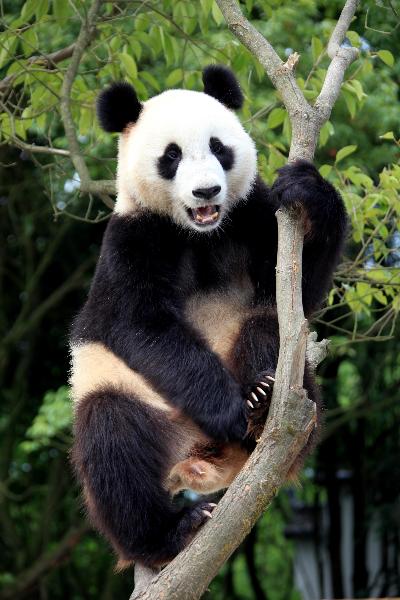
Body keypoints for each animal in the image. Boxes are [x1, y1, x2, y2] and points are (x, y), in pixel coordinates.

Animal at [69, 64, 346, 568]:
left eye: (219, 147)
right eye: (171, 156)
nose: (206, 191)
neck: (200, 232)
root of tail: (200, 460)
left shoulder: (251, 215)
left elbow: (295, 293)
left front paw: (311, 193)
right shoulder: (132, 242)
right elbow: (140, 327)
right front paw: (229, 409)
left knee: (266, 331)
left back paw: (264, 404)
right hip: (132, 397)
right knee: (111, 441)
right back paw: (172, 531)